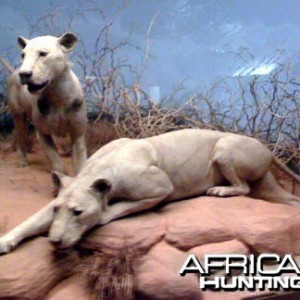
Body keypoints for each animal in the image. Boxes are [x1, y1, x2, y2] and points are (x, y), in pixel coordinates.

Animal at [0, 129, 298, 253]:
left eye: (78, 212)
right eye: (57, 209)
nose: (54, 241)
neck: (98, 170)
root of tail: (267, 149)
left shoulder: (160, 187)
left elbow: (119, 208)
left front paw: (104, 214)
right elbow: (30, 222)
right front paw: (6, 241)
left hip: (225, 148)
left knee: (244, 187)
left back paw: (219, 191)